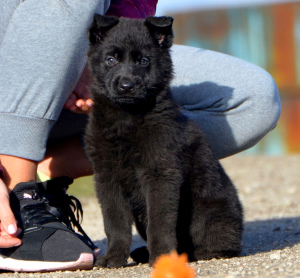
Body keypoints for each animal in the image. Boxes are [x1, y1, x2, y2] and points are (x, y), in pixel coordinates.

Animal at [84, 14, 244, 268]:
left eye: (144, 61)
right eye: (110, 60)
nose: (126, 86)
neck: (127, 119)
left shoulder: (160, 173)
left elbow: (159, 223)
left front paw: (161, 258)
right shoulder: (107, 177)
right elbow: (115, 223)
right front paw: (113, 258)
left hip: (208, 215)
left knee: (218, 244)